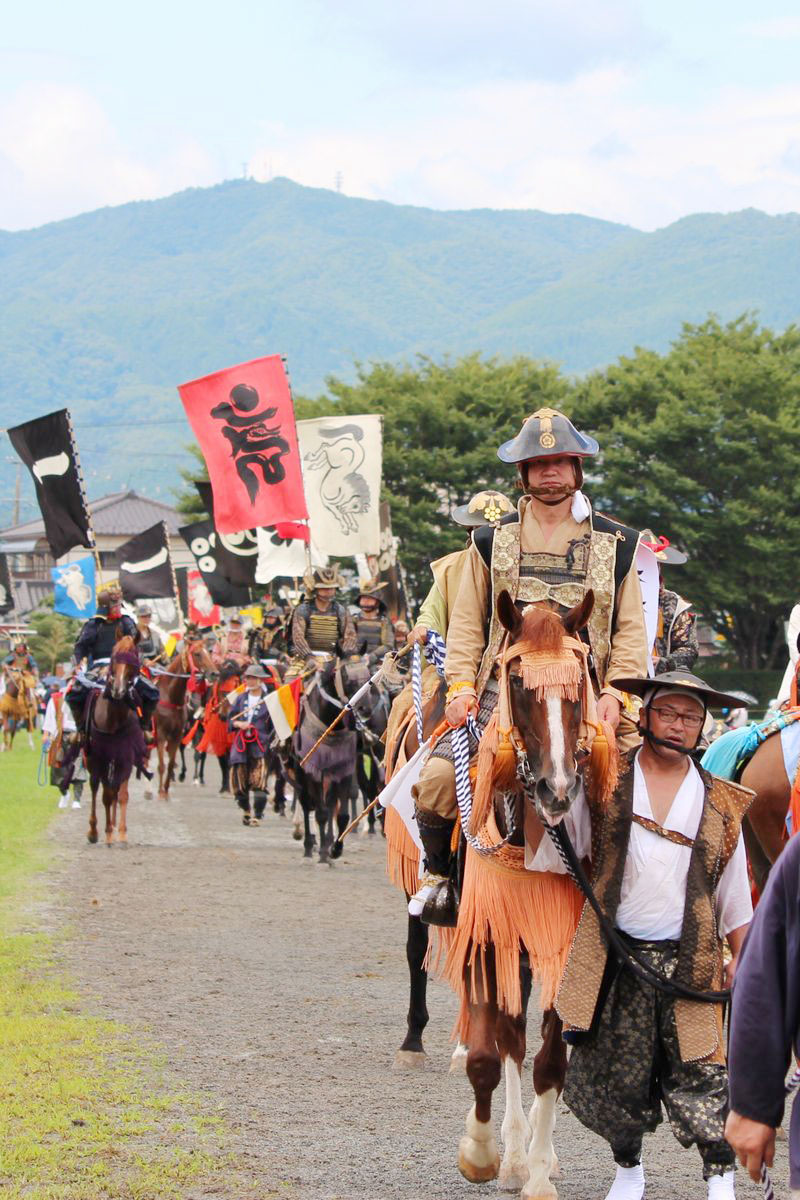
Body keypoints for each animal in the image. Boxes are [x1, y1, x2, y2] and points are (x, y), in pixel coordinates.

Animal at [86, 638, 145, 844]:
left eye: (134, 657)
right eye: (114, 655)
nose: (118, 689)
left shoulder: (125, 756)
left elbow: (121, 794)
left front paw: (121, 831)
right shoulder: (99, 756)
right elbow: (105, 793)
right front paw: (103, 832)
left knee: (113, 788)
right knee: (96, 786)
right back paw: (95, 830)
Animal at [153, 643, 214, 801]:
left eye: (209, 653)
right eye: (197, 654)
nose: (214, 673)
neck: (170, 696)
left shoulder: (178, 733)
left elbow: (172, 761)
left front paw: (166, 790)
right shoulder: (161, 734)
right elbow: (162, 764)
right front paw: (160, 791)